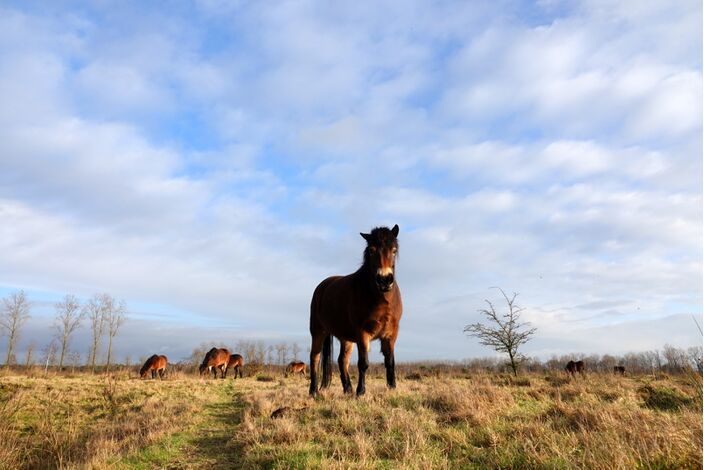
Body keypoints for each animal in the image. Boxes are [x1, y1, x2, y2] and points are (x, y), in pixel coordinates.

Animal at [308, 224, 402, 396]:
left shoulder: (391, 335)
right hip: (318, 332)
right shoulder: (362, 334)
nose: (384, 280)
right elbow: (363, 363)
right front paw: (360, 392)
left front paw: (392, 388)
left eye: (393, 250)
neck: (381, 299)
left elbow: (390, 362)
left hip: (346, 338)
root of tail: (322, 286)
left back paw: (347, 390)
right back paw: (314, 392)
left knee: (342, 361)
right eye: (371, 250)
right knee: (314, 358)